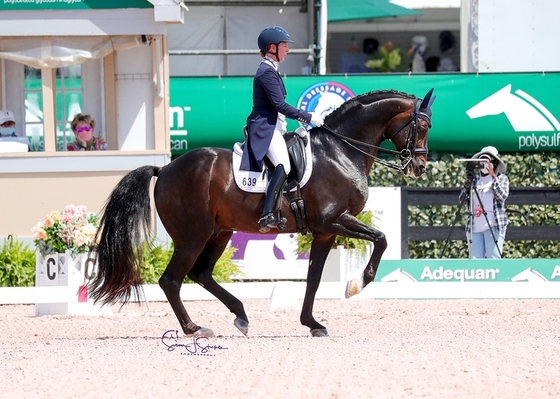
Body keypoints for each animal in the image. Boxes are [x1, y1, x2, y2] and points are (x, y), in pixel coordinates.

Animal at [89, 90, 436, 338]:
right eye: (421, 126)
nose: (419, 166)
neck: (340, 151)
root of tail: (165, 170)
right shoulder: (333, 220)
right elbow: (382, 238)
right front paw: (356, 285)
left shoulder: (326, 231)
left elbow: (313, 278)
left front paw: (312, 323)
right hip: (192, 236)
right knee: (172, 280)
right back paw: (194, 328)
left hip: (219, 233)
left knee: (201, 274)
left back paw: (241, 316)